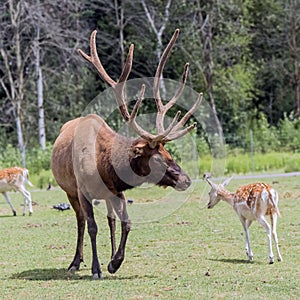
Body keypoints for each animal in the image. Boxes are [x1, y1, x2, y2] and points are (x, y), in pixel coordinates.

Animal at [51, 28, 203, 278]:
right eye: (159, 159)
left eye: (170, 153)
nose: (186, 180)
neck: (103, 164)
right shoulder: (83, 191)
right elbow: (92, 227)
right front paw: (96, 269)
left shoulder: (116, 191)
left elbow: (126, 222)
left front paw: (115, 262)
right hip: (69, 191)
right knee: (80, 221)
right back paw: (75, 262)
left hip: (105, 195)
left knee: (111, 220)